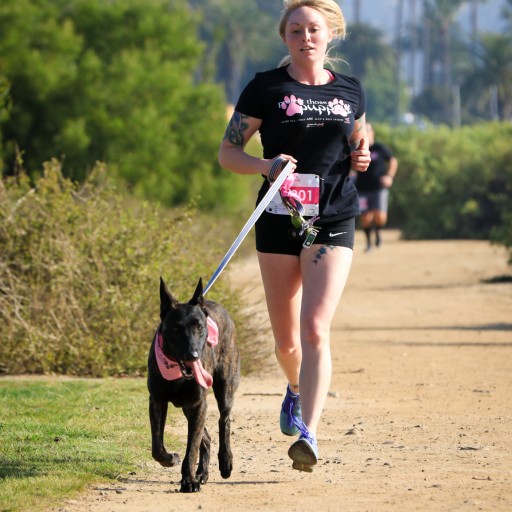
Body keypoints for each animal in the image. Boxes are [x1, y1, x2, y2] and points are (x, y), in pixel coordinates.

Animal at [145, 278, 239, 494]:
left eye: (199, 327)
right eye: (175, 328)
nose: (193, 355)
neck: (178, 375)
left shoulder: (198, 403)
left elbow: (192, 449)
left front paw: (188, 481)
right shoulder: (157, 401)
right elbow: (157, 447)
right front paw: (171, 459)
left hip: (224, 388)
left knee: (224, 420)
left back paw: (225, 462)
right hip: (189, 408)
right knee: (207, 437)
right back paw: (202, 473)